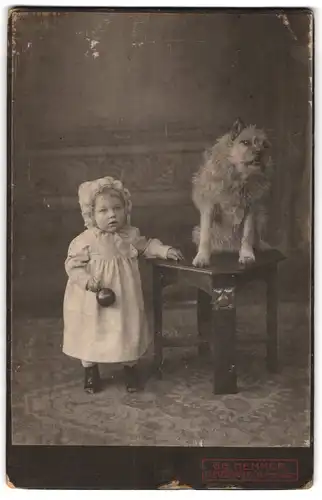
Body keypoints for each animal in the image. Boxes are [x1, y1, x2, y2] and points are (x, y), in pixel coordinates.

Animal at [192, 117, 272, 268]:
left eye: (265, 145)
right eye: (245, 142)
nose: (260, 152)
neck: (238, 178)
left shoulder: (250, 209)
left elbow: (247, 234)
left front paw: (246, 255)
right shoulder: (209, 207)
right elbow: (206, 235)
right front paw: (202, 257)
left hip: (261, 215)